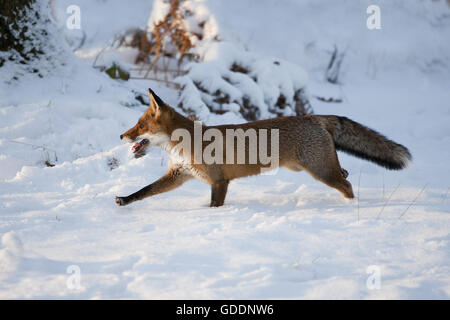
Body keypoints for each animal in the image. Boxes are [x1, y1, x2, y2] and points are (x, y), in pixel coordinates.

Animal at [116, 89, 412, 208]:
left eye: (140, 126)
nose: (121, 136)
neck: (186, 143)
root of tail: (315, 117)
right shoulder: (178, 175)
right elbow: (144, 191)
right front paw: (125, 200)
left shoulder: (219, 181)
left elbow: (214, 206)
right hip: (317, 167)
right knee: (346, 175)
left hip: (321, 171)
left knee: (347, 185)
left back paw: (350, 208)